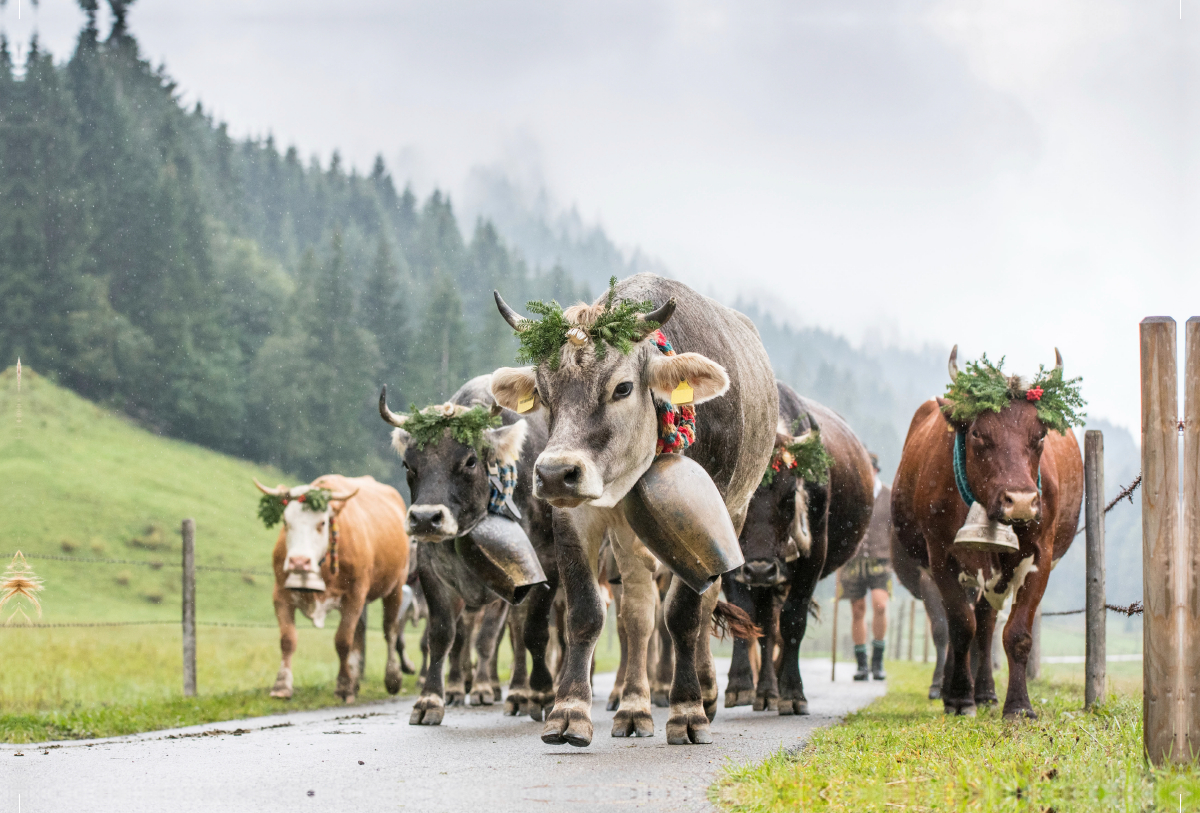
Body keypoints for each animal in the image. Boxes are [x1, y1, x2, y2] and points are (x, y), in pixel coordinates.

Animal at [255, 474, 410, 705]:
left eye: (322, 523)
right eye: (285, 521)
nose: (299, 561)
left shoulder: (354, 595)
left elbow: (343, 640)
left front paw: (343, 687)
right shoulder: (281, 594)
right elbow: (287, 640)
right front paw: (282, 686)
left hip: (396, 586)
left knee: (389, 629)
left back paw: (392, 678)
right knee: (360, 631)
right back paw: (355, 680)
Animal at [376, 374, 559, 724]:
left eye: (470, 461)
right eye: (408, 464)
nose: (425, 519)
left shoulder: (545, 565)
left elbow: (531, 631)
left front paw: (542, 694)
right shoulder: (432, 570)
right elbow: (442, 635)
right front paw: (430, 700)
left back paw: (520, 692)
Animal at [720, 381, 873, 714]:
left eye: (790, 495)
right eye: (741, 497)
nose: (760, 570)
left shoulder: (813, 558)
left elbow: (792, 620)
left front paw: (792, 692)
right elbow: (743, 614)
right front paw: (739, 686)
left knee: (773, 623)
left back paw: (772, 689)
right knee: (764, 622)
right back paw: (764, 690)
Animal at [892, 350, 1089, 719]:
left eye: (1040, 435)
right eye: (978, 434)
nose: (1022, 501)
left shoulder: (1040, 556)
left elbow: (1016, 634)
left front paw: (1019, 706)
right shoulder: (940, 555)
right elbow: (959, 625)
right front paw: (959, 698)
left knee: (985, 624)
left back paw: (985, 691)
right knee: (962, 627)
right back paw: (957, 691)